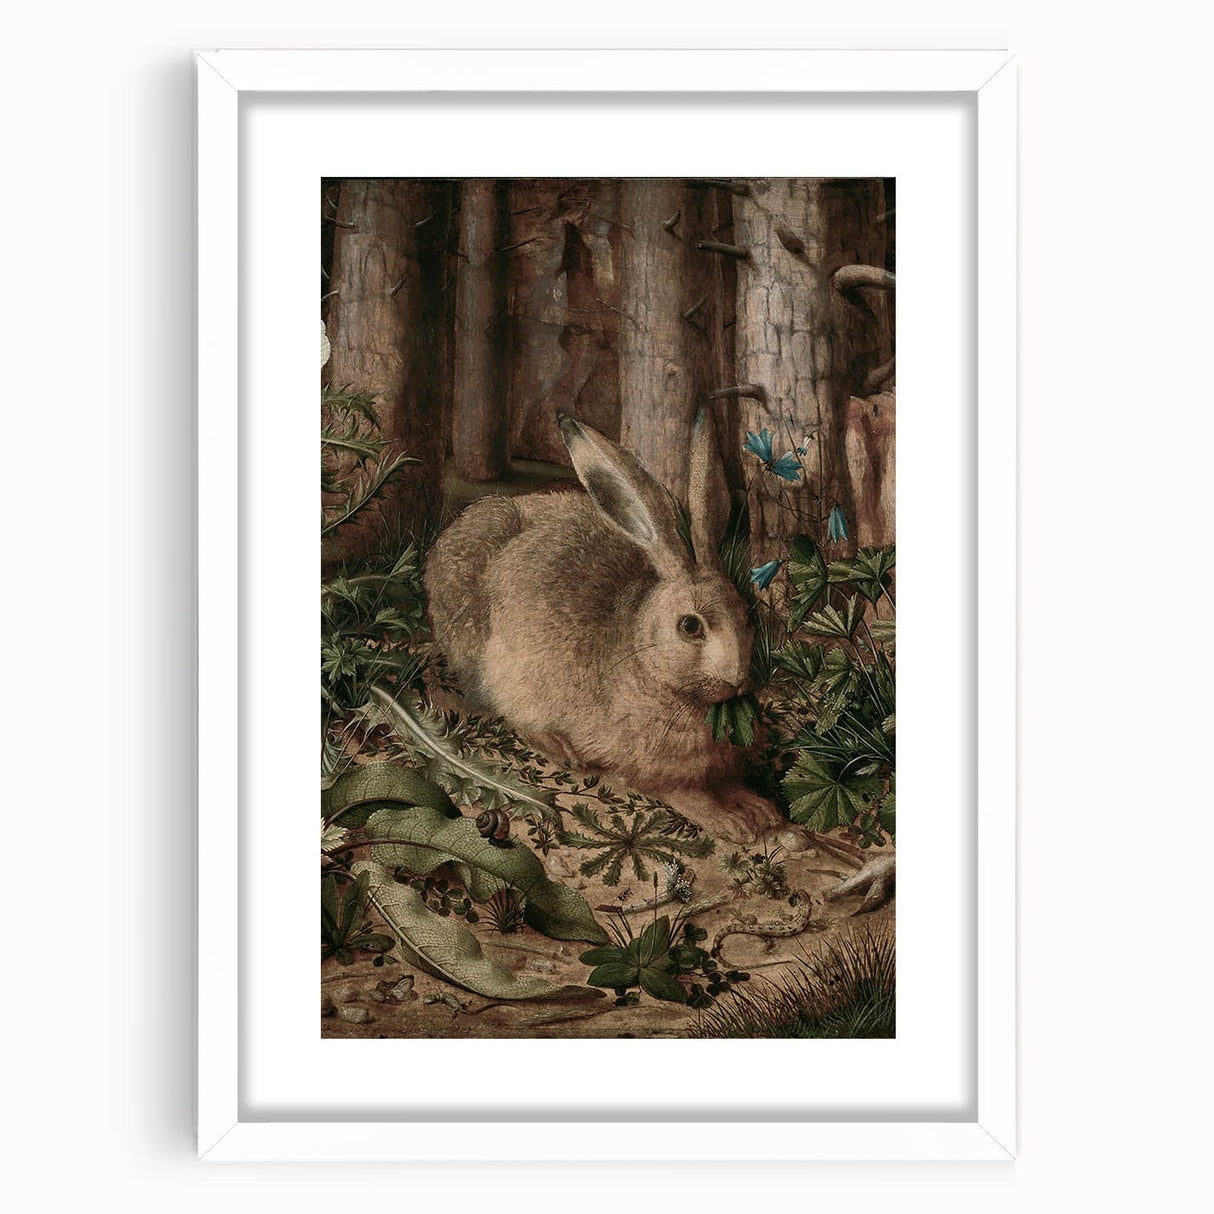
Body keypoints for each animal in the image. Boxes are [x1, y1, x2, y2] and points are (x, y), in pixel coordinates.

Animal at [424, 409, 789, 843]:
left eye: (747, 615)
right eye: (690, 626)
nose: (737, 680)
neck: (650, 666)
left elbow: (729, 783)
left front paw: (761, 810)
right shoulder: (650, 768)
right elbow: (687, 793)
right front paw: (730, 822)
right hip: (486, 654)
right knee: (503, 705)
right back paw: (560, 747)